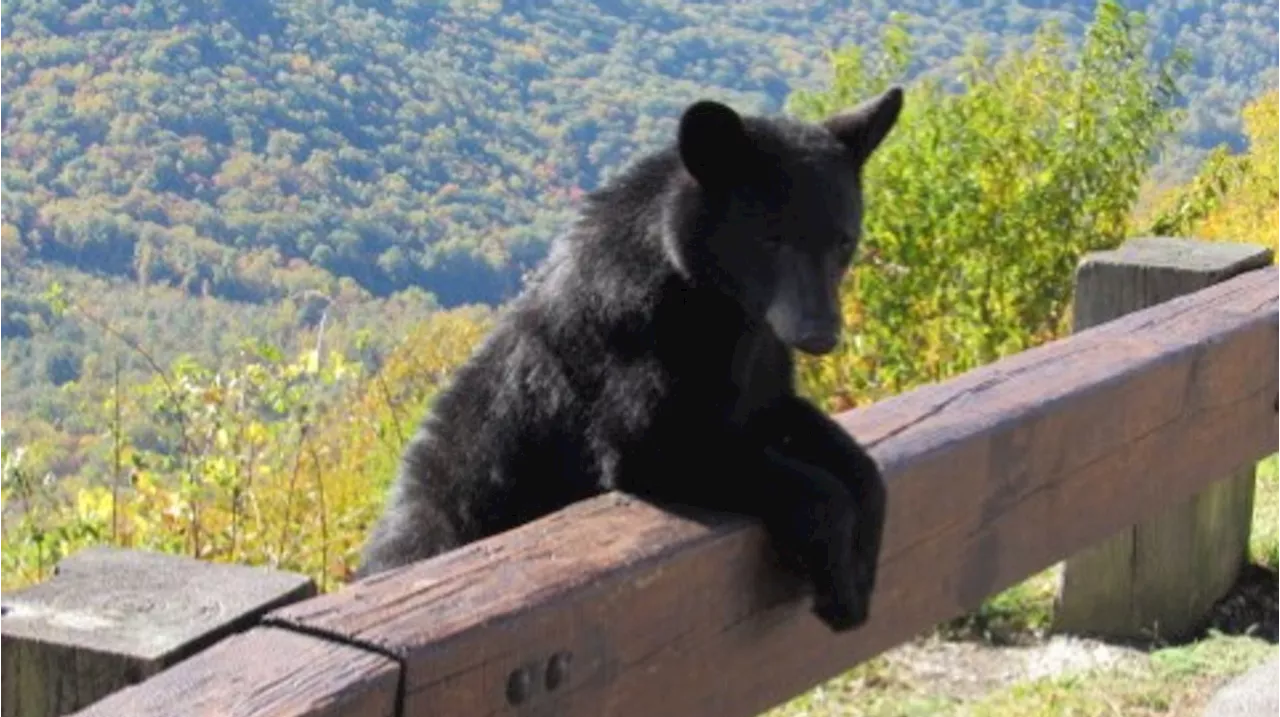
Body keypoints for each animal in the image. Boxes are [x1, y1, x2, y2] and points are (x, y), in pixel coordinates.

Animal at [355, 87, 906, 629]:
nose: (820, 334)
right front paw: (838, 576)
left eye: (843, 240)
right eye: (772, 238)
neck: (726, 312)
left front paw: (865, 552)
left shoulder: (760, 374)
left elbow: (841, 454)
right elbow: (686, 452)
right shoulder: (640, 358)